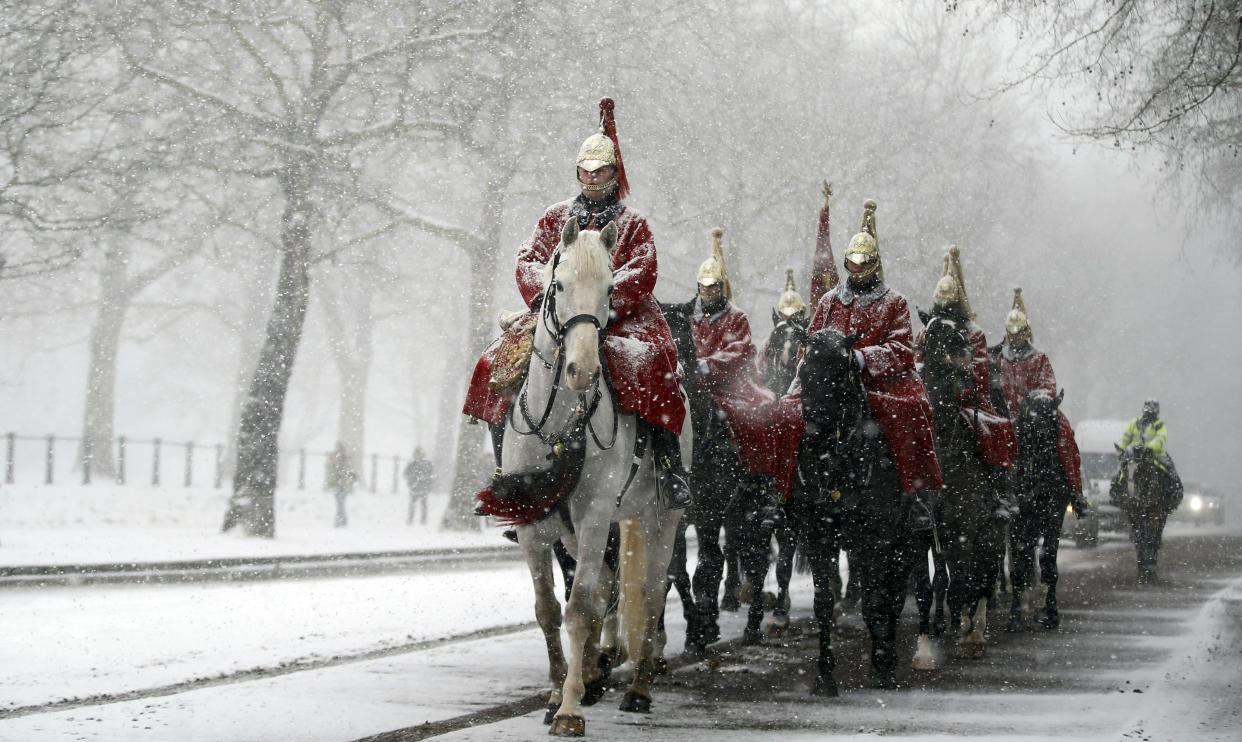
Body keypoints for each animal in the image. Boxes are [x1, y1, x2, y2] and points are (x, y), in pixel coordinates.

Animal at [499, 218, 685, 735]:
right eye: (559, 285)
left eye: (609, 290)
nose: (581, 370)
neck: (560, 422)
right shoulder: (534, 526)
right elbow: (548, 609)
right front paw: (555, 691)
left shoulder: (595, 516)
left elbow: (581, 608)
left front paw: (569, 709)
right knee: (607, 588)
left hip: (659, 521)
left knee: (650, 593)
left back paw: (639, 688)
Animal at [784, 328, 924, 691]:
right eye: (804, 371)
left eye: (839, 375)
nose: (815, 433)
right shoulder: (819, 537)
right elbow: (823, 604)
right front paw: (824, 675)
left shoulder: (877, 538)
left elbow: (877, 602)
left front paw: (883, 665)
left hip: (906, 542)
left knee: (893, 595)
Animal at [914, 311, 1008, 661]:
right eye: (929, 336)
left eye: (962, 337)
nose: (965, 364)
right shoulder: (932, 533)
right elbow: (940, 584)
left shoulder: (969, 528)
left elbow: (969, 582)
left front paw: (970, 634)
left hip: (991, 530)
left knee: (985, 573)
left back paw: (975, 627)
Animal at [1008, 387, 1078, 631]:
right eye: (1032, 424)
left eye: (1055, 424)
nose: (1045, 471)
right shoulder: (1016, 518)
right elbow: (1018, 564)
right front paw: (1015, 615)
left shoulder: (1054, 513)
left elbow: (1048, 559)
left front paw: (1051, 613)